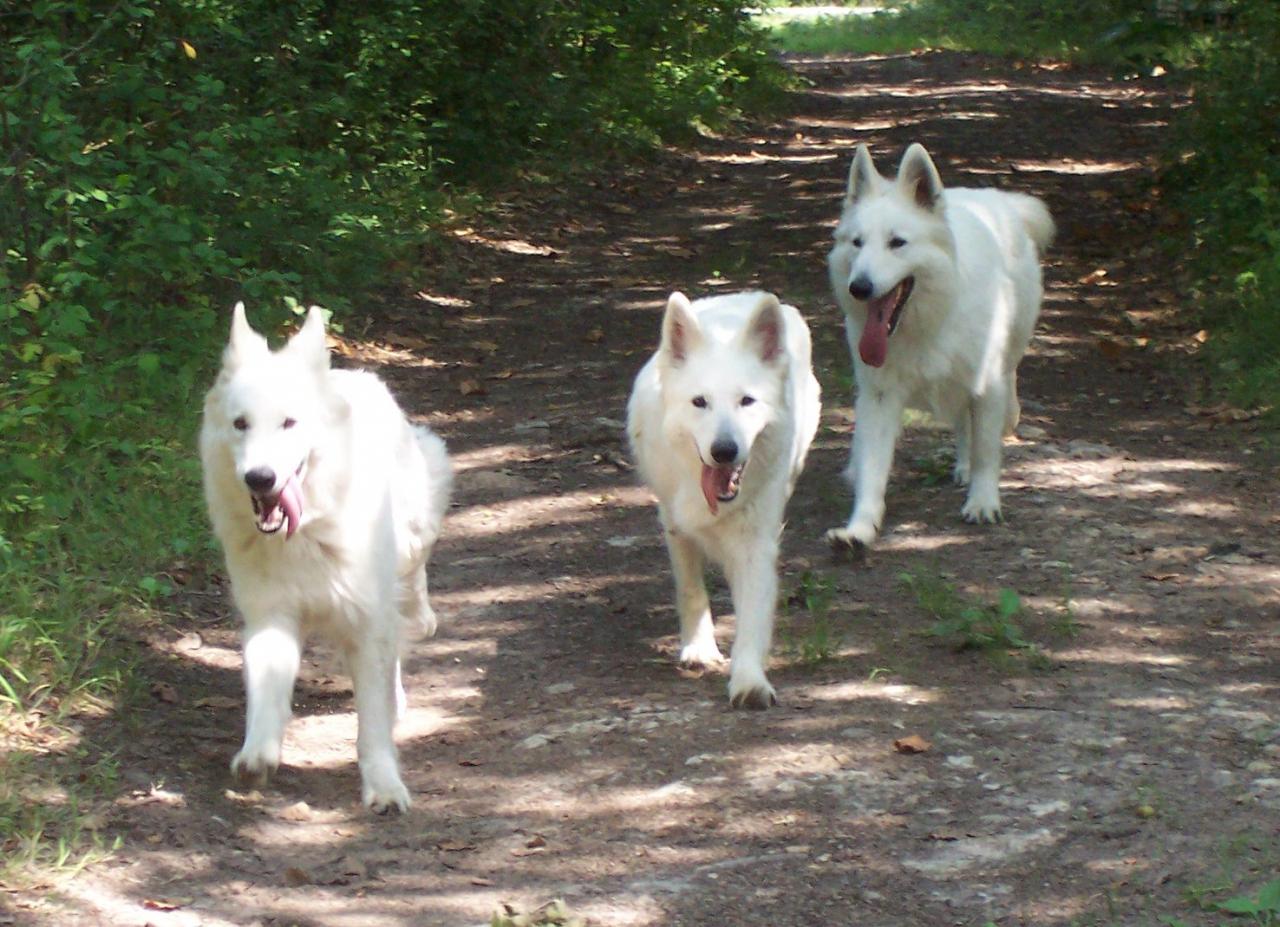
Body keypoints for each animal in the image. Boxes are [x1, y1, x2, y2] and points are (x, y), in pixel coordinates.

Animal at [197, 304, 453, 809]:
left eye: (289, 423)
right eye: (240, 424)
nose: (260, 478)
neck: (304, 534)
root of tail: (353, 375)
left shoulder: (367, 618)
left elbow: (372, 720)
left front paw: (384, 785)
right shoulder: (272, 616)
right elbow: (266, 689)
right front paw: (258, 754)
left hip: (414, 528)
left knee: (409, 598)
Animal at [627, 291, 819, 711]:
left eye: (747, 401)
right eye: (700, 402)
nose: (725, 450)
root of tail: (747, 295)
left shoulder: (756, 542)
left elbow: (752, 613)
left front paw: (749, 680)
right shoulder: (674, 524)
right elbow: (691, 589)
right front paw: (699, 648)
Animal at [824, 142, 1054, 550]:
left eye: (897, 243)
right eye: (857, 243)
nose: (859, 288)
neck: (929, 320)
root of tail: (994, 198)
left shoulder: (987, 385)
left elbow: (986, 451)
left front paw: (982, 502)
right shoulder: (879, 397)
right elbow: (873, 470)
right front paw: (859, 529)